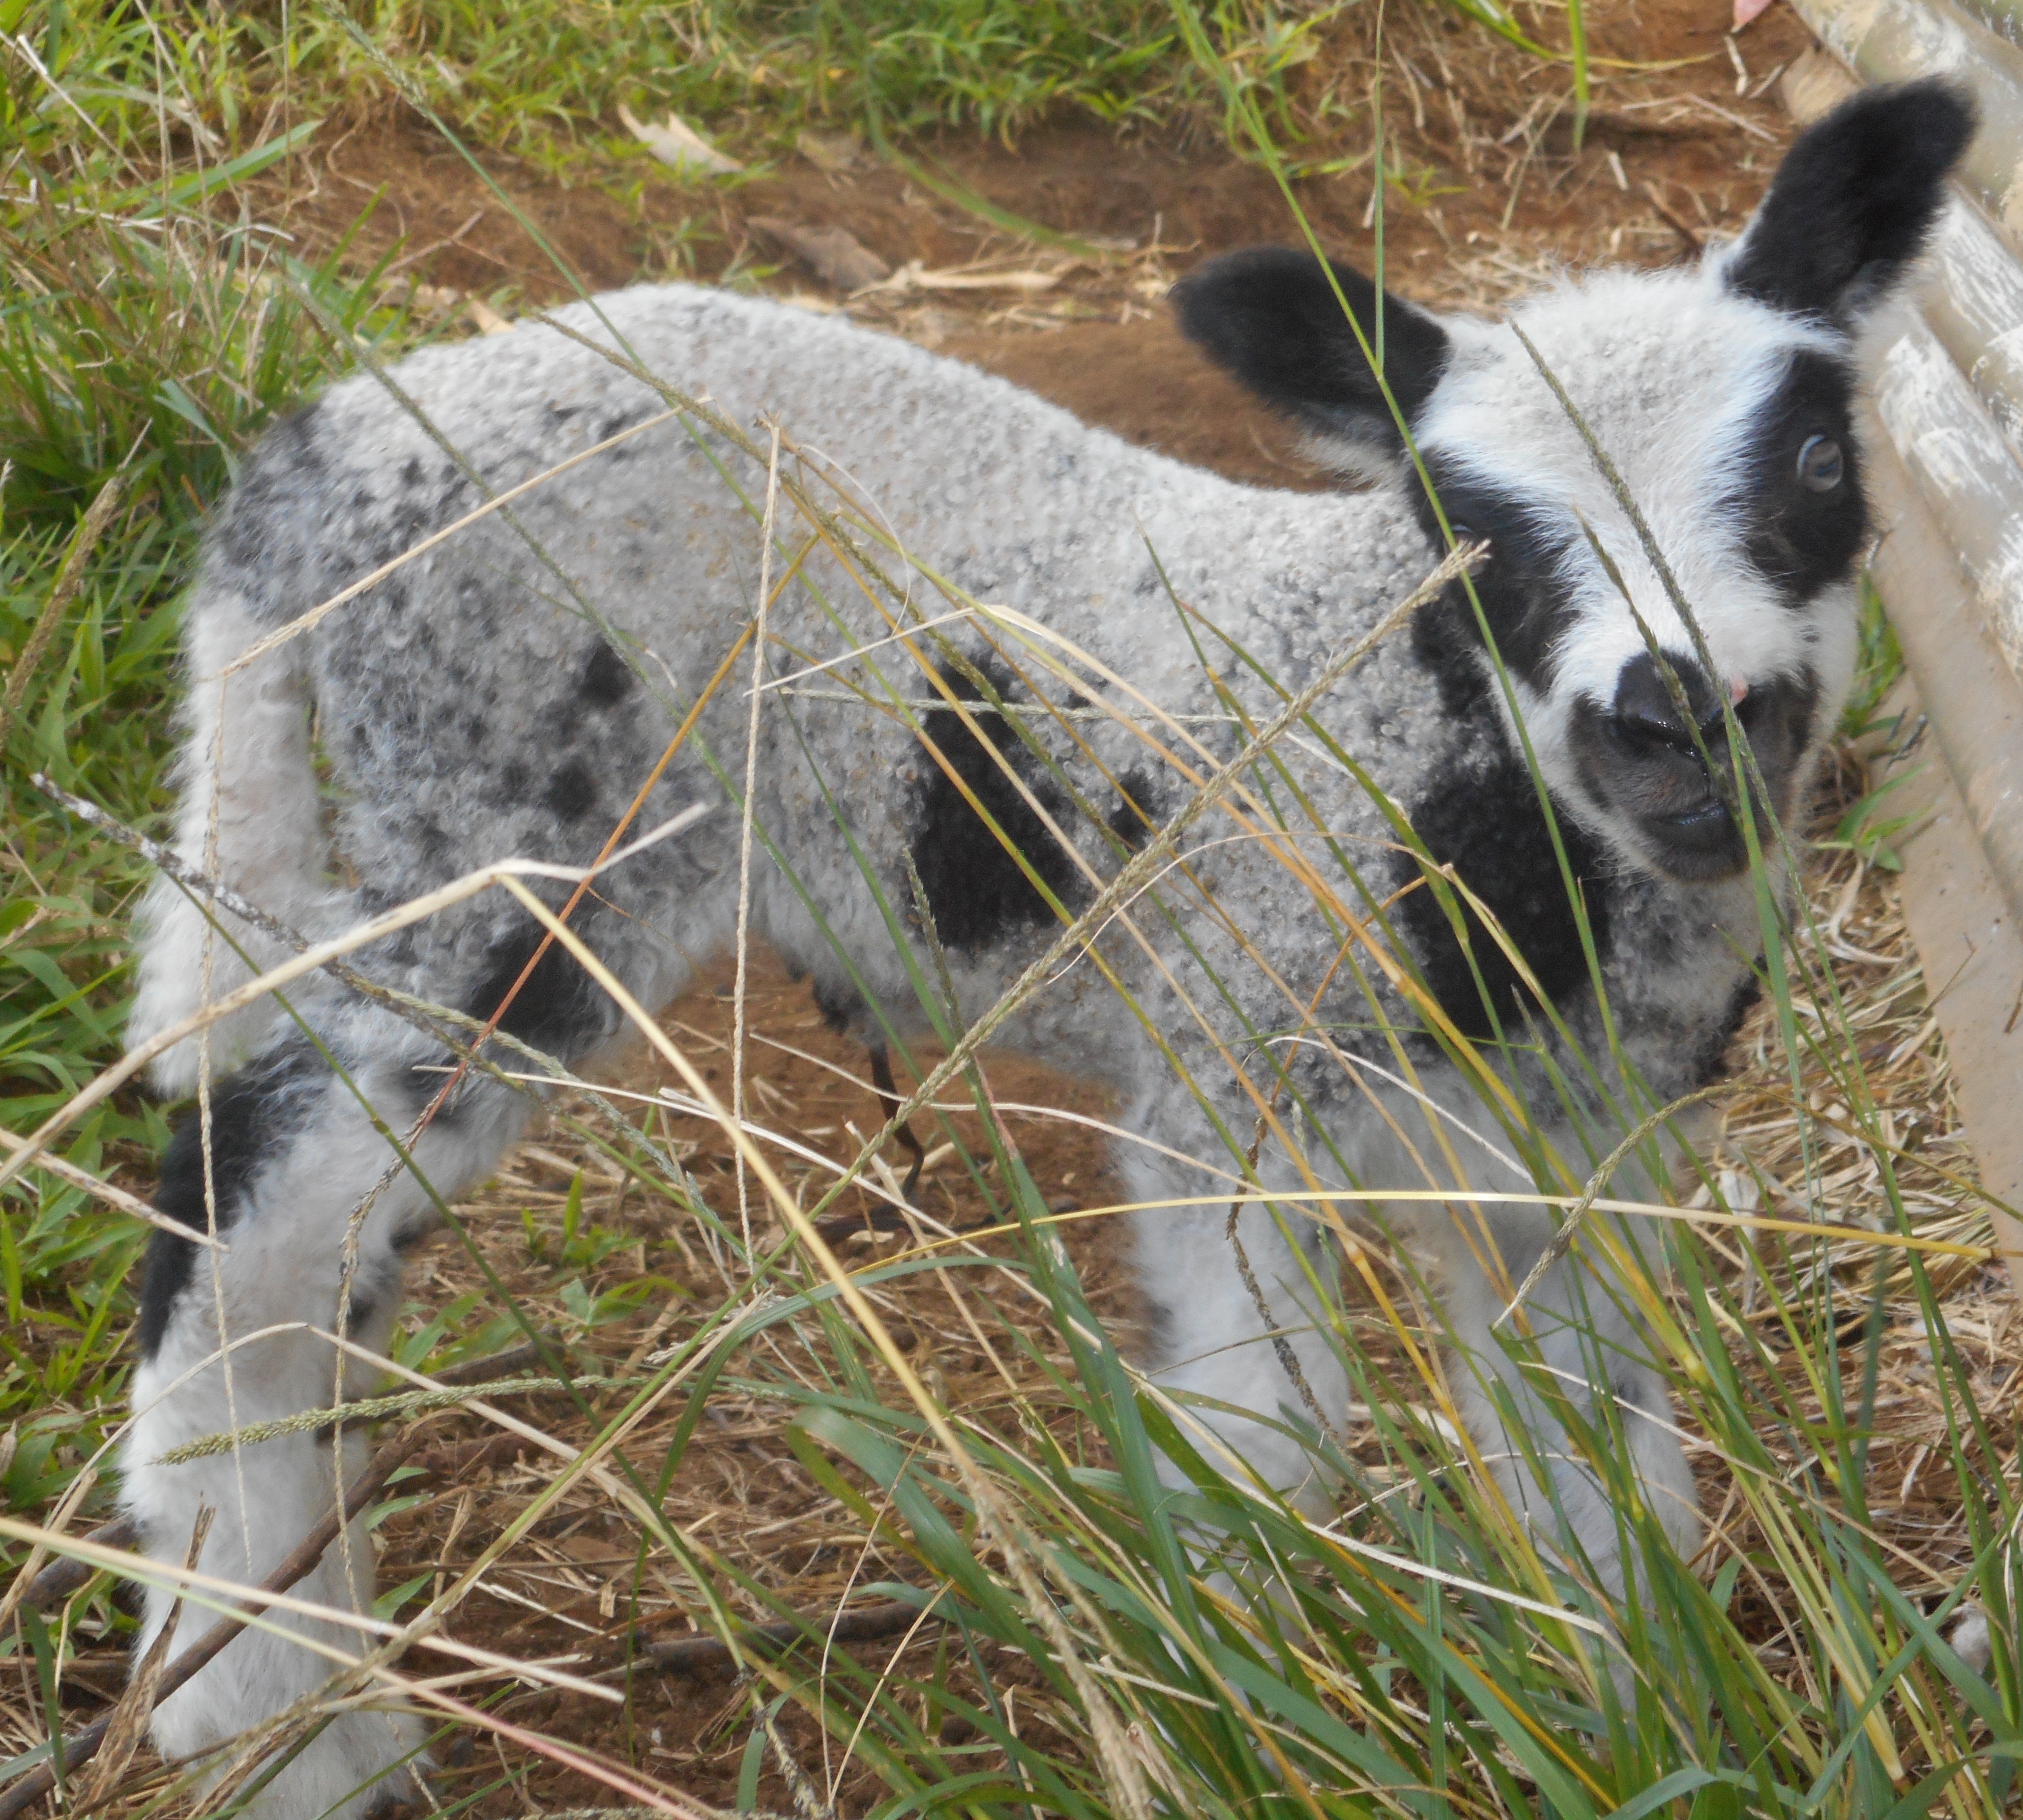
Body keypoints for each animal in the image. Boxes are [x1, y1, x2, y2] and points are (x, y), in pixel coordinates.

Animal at [106, 85, 1958, 1820]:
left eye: (1813, 462)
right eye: (1474, 535)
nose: (1680, 716)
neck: (1440, 780)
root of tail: (312, 458)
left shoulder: (1573, 1155)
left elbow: (1600, 1455)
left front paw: (1633, 1709)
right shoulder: (1227, 1077)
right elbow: (1272, 1442)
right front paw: (1264, 1711)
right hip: (502, 824)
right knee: (245, 1233)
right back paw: (268, 1726)